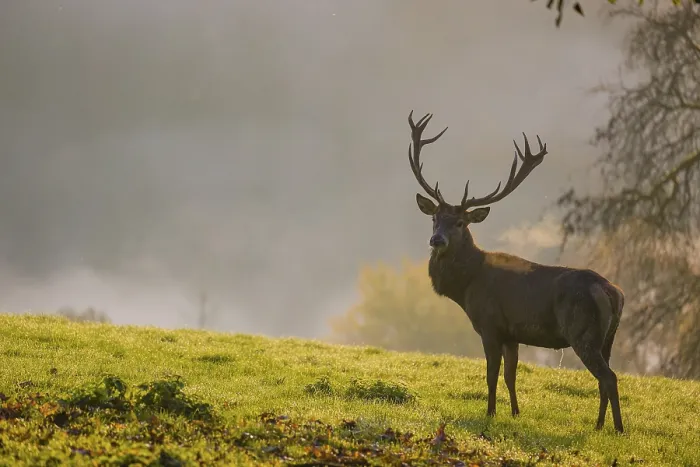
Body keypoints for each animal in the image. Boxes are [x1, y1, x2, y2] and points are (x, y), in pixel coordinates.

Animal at [406, 111, 625, 433]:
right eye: (435, 218)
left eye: (460, 223)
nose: (437, 240)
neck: (466, 287)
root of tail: (615, 293)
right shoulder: (512, 333)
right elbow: (511, 375)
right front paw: (515, 413)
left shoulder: (490, 324)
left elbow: (491, 375)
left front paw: (490, 414)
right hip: (608, 337)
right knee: (604, 378)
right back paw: (598, 427)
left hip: (582, 331)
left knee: (608, 377)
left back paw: (619, 429)